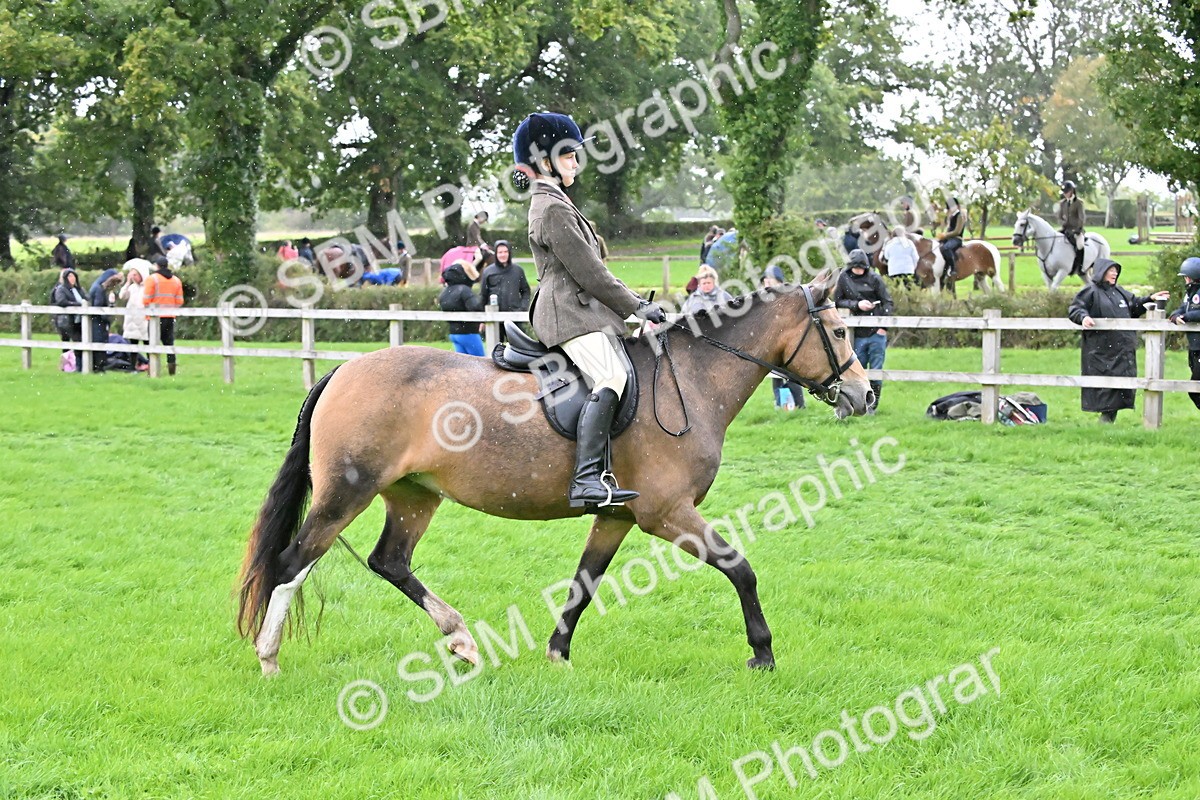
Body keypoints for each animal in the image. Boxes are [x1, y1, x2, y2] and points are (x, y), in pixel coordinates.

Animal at [236, 270, 872, 676]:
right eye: (841, 332)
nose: (865, 395)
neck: (691, 377)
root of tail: (342, 371)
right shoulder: (667, 512)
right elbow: (740, 567)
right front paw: (762, 654)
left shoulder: (619, 515)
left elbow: (583, 583)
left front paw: (557, 654)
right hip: (346, 493)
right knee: (292, 564)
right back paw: (269, 659)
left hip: (414, 496)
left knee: (389, 561)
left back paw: (462, 640)